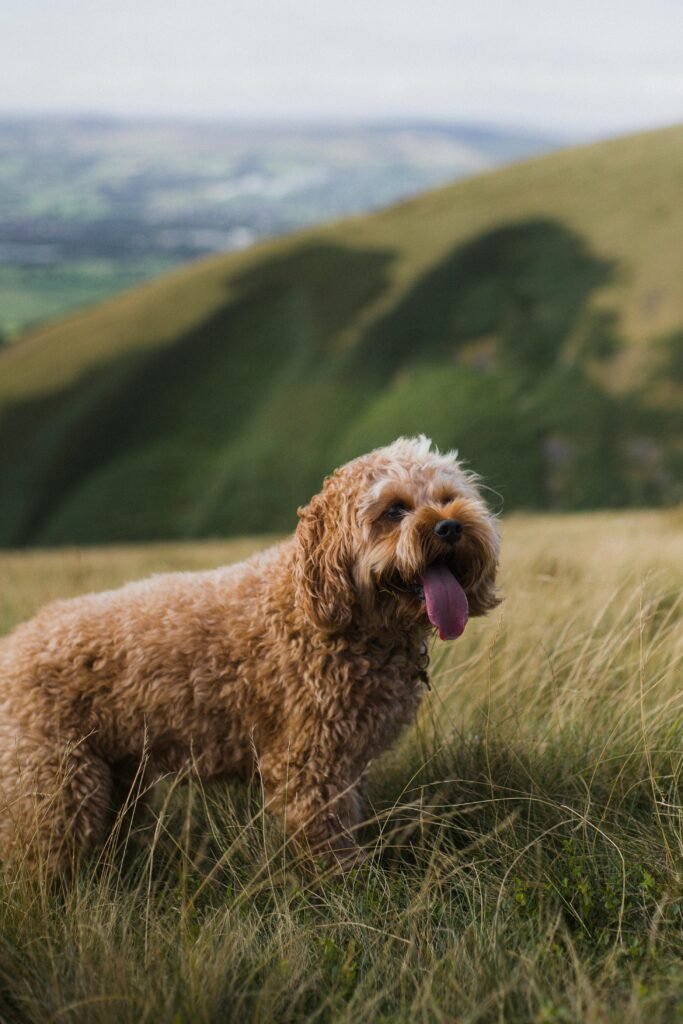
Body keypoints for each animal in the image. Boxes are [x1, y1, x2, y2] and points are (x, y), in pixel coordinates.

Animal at [0, 434, 499, 872]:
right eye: (394, 510)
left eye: (447, 497)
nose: (450, 526)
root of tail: (13, 644)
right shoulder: (310, 764)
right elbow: (329, 842)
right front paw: (352, 881)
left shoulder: (344, 762)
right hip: (55, 788)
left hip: (116, 777)